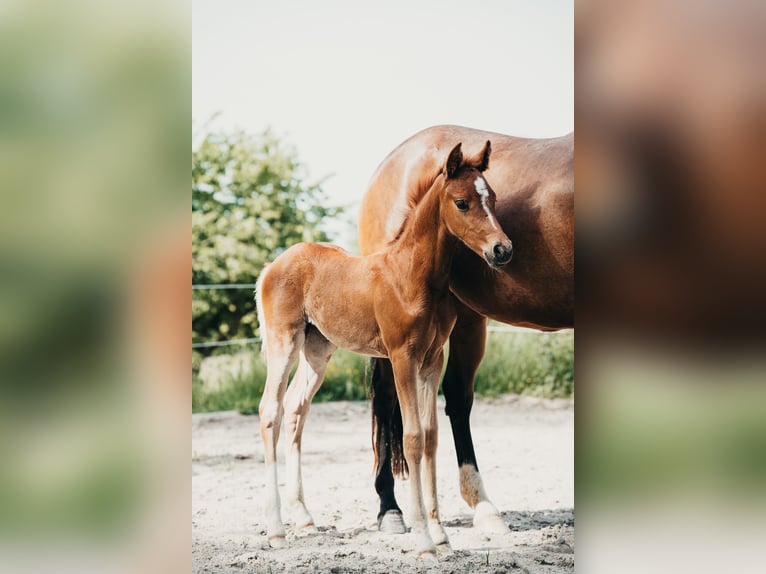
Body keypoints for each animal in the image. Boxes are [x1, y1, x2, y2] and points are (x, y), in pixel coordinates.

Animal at [255, 140, 513, 558]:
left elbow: (430, 437)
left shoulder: (431, 361)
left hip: (317, 350)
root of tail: (273, 265)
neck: (412, 276)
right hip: (284, 342)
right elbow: (411, 438)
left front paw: (442, 536)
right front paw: (424, 539)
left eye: (492, 197)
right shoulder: (402, 357)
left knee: (295, 409)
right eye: (461, 203)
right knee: (269, 411)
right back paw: (276, 530)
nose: (502, 250)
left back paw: (304, 517)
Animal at [358, 125, 573, 535]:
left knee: (457, 396)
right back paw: (390, 508)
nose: (503, 250)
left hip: (467, 319)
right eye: (461, 203)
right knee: (390, 397)